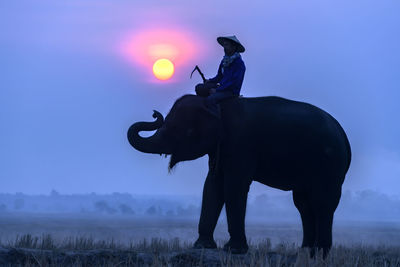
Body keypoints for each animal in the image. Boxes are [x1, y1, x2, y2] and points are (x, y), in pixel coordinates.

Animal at [127, 94, 350, 258]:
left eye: (178, 129)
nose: (155, 114)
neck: (217, 106)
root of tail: (343, 133)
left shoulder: (241, 145)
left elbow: (234, 186)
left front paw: (233, 250)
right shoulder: (220, 149)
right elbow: (212, 185)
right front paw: (202, 247)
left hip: (329, 165)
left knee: (322, 202)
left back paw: (320, 253)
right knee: (303, 203)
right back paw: (306, 252)